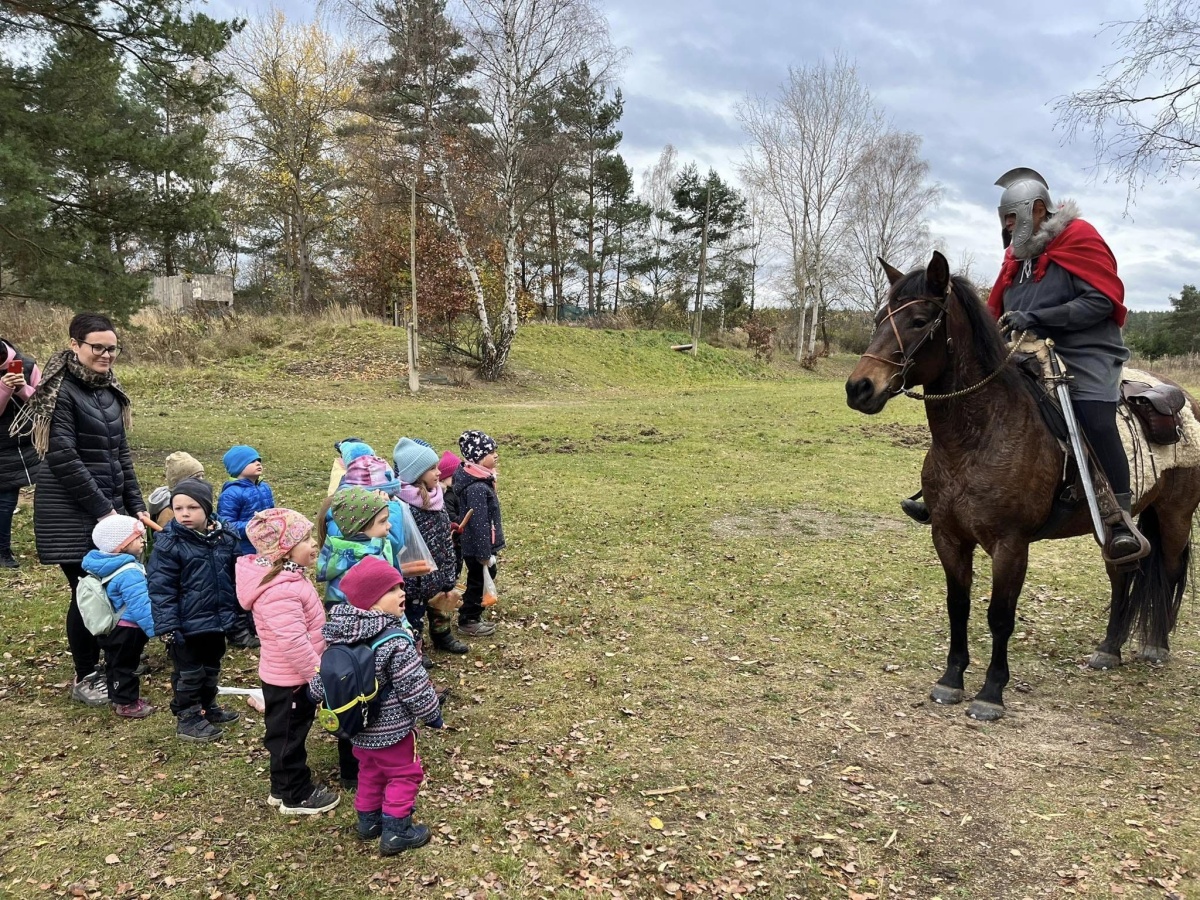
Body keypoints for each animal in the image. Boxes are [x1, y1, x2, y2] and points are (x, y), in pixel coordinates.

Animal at [845, 250, 1200, 721]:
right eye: (879, 318)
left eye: (920, 320)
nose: (859, 387)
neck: (979, 434)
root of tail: (1182, 398)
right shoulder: (948, 536)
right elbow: (958, 606)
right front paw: (951, 680)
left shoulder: (1011, 545)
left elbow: (1000, 615)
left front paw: (991, 692)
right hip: (1115, 532)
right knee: (1123, 572)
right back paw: (1109, 648)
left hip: (1176, 514)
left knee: (1171, 569)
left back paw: (1157, 646)